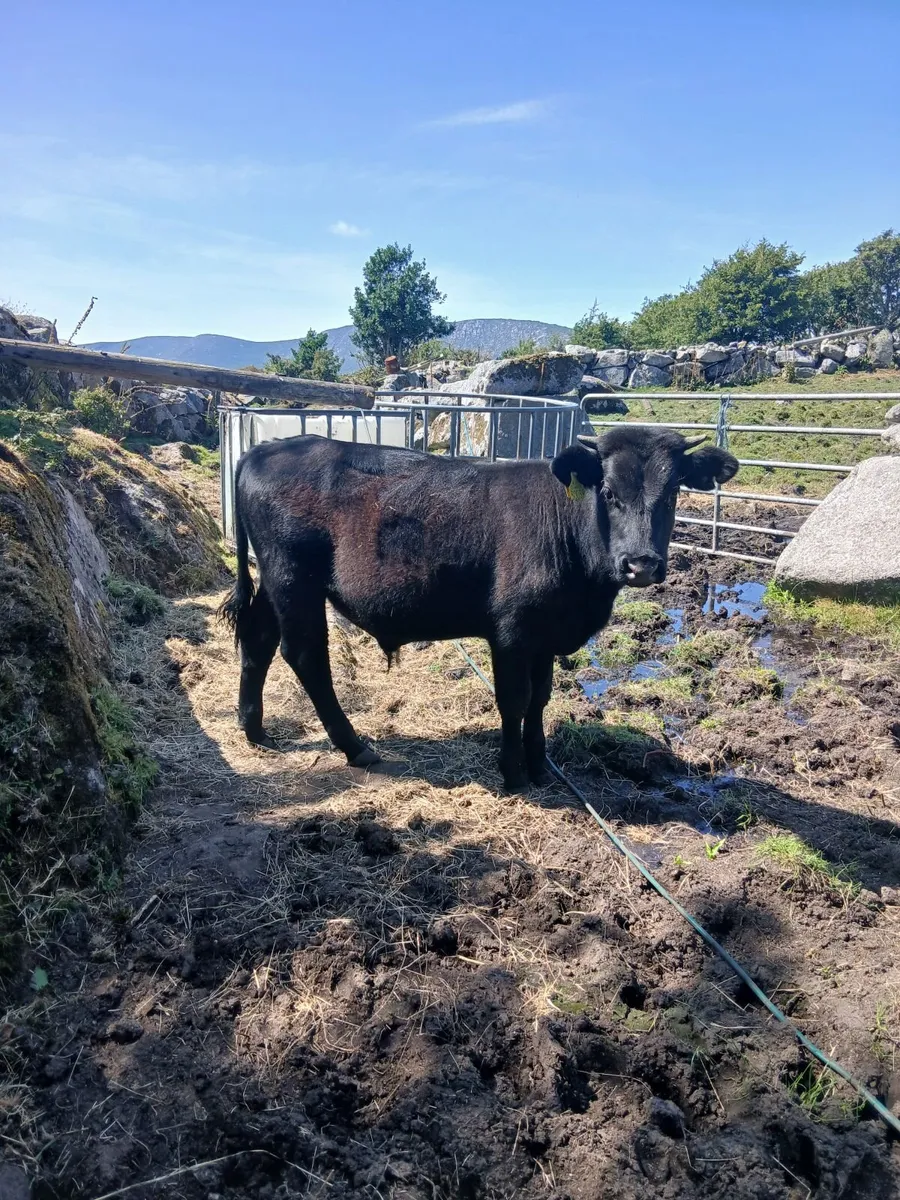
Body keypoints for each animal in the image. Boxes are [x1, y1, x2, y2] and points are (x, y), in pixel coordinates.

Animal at [220, 426, 738, 791]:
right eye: (608, 492)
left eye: (673, 493)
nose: (641, 564)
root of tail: (267, 448)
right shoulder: (511, 631)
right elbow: (514, 698)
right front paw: (513, 772)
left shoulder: (545, 635)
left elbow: (541, 697)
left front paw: (540, 764)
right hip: (294, 580)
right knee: (305, 655)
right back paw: (355, 746)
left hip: (274, 581)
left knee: (259, 638)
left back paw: (254, 727)